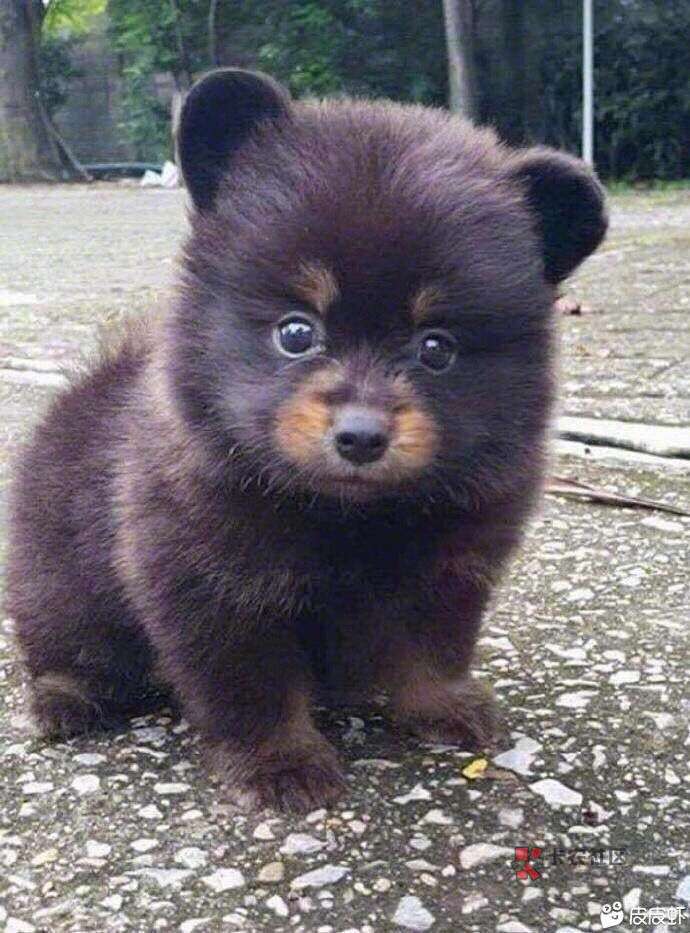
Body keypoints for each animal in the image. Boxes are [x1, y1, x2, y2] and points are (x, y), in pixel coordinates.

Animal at [6, 69, 607, 812]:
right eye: (296, 332)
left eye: (437, 348)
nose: (361, 436)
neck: (348, 514)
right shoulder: (214, 587)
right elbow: (253, 687)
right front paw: (280, 763)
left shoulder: (449, 570)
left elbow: (433, 649)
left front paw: (444, 707)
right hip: (57, 583)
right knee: (68, 648)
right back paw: (66, 700)